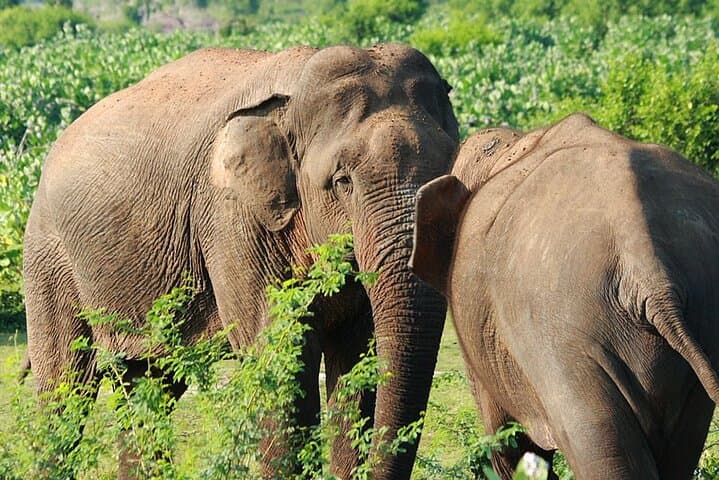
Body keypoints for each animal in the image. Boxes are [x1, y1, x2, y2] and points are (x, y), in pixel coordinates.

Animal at [23, 44, 459, 478]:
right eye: (342, 182)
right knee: (65, 388)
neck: (295, 91)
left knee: (149, 385)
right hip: (49, 255)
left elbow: (357, 358)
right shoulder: (231, 218)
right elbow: (280, 357)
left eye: (450, 172)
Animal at [410, 113, 719, 479]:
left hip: (564, 337)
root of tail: (649, 270)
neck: (515, 144)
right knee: (680, 446)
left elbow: (505, 440)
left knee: (595, 438)